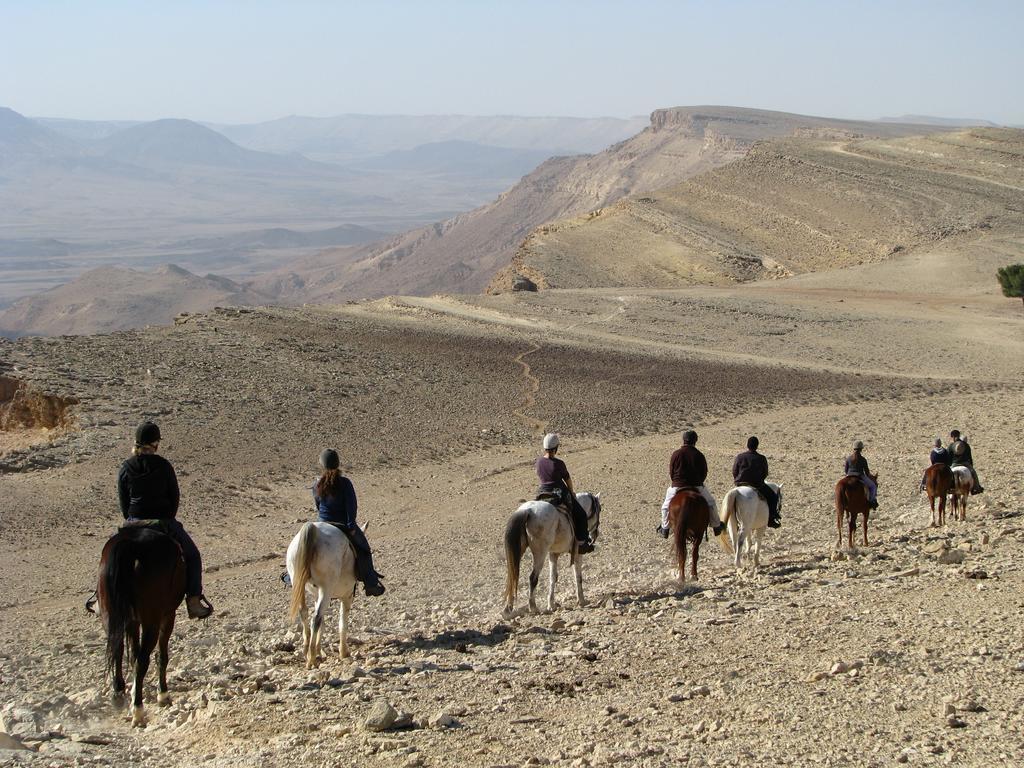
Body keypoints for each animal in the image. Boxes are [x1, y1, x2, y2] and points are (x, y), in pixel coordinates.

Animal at [97, 528, 186, 729]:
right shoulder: (167, 616)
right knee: (142, 661)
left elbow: (131, 653)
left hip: (110, 616)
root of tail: (131, 544)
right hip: (152, 620)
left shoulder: (132, 622)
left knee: (118, 650)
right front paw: (162, 695)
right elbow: (161, 656)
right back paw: (138, 711)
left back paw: (119, 694)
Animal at [288, 524, 360, 667]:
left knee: (304, 612)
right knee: (316, 618)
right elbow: (342, 622)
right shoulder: (347, 596)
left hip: (299, 583)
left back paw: (306, 650)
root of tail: (313, 527)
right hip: (326, 588)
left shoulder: (317, 596)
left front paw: (319, 650)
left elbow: (323, 622)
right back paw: (311, 659)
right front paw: (343, 652)